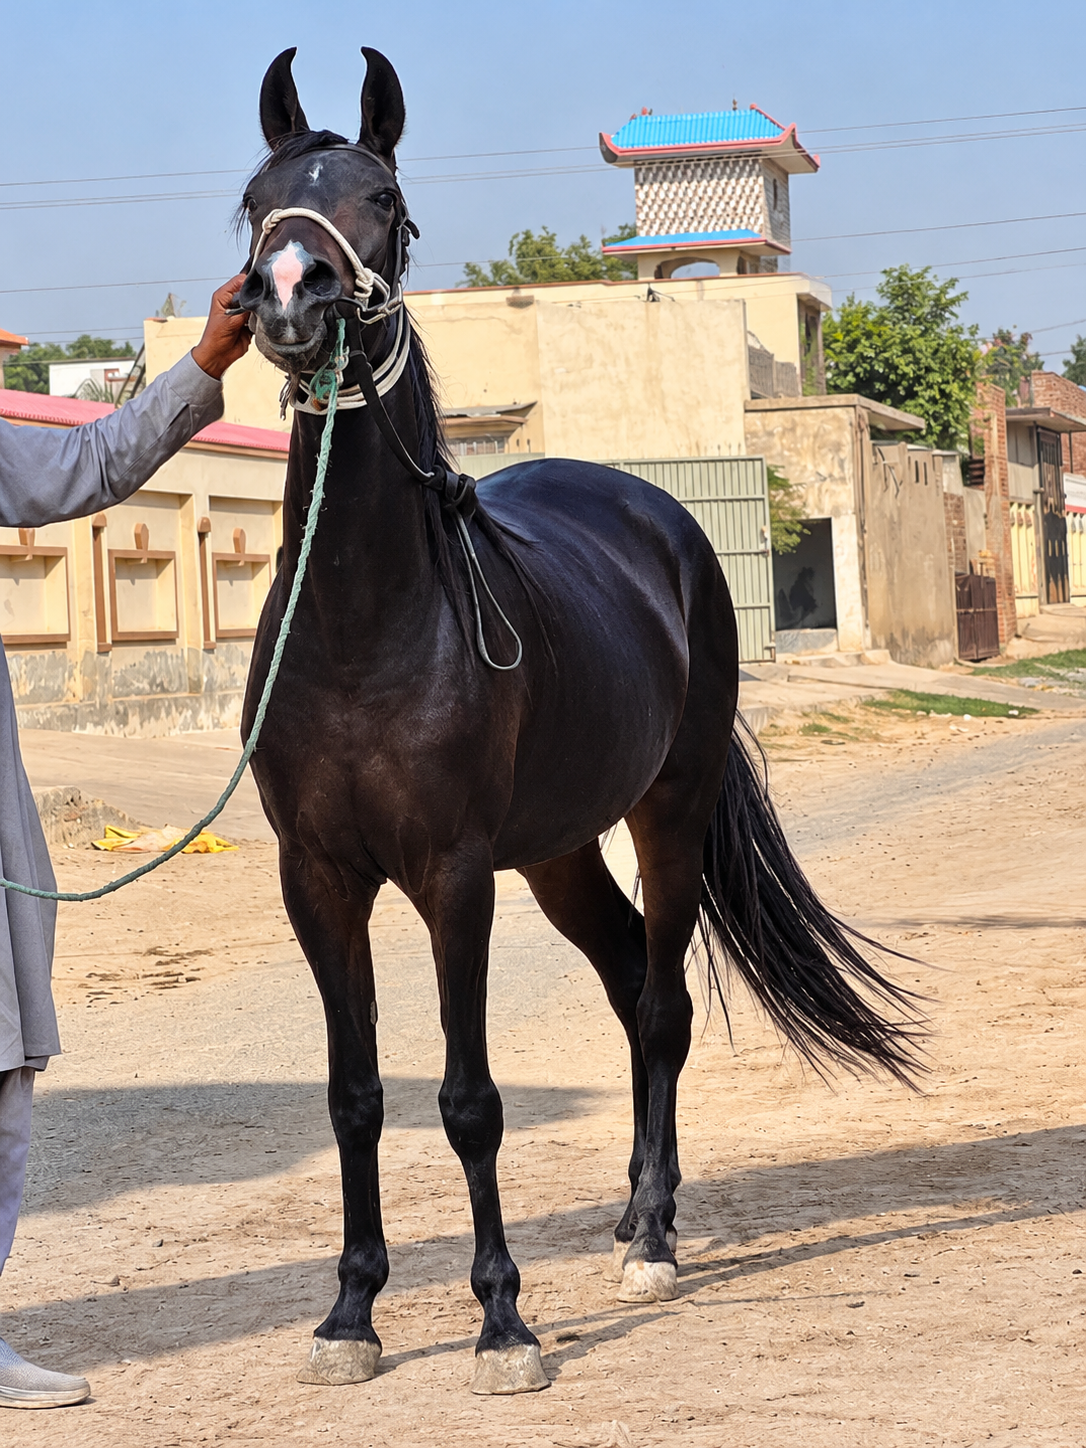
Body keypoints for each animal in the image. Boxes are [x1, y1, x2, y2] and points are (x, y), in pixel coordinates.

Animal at [236, 46, 921, 1395]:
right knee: (626, 991)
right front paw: (351, 1314)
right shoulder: (318, 877)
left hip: (669, 810)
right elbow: (355, 1093)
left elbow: (469, 1099)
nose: (292, 298)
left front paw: (504, 1321)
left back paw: (651, 1238)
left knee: (659, 1004)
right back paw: (632, 1212)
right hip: (557, 852)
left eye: (384, 204)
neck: (361, 625)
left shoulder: (453, 877)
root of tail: (656, 517)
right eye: (259, 198)